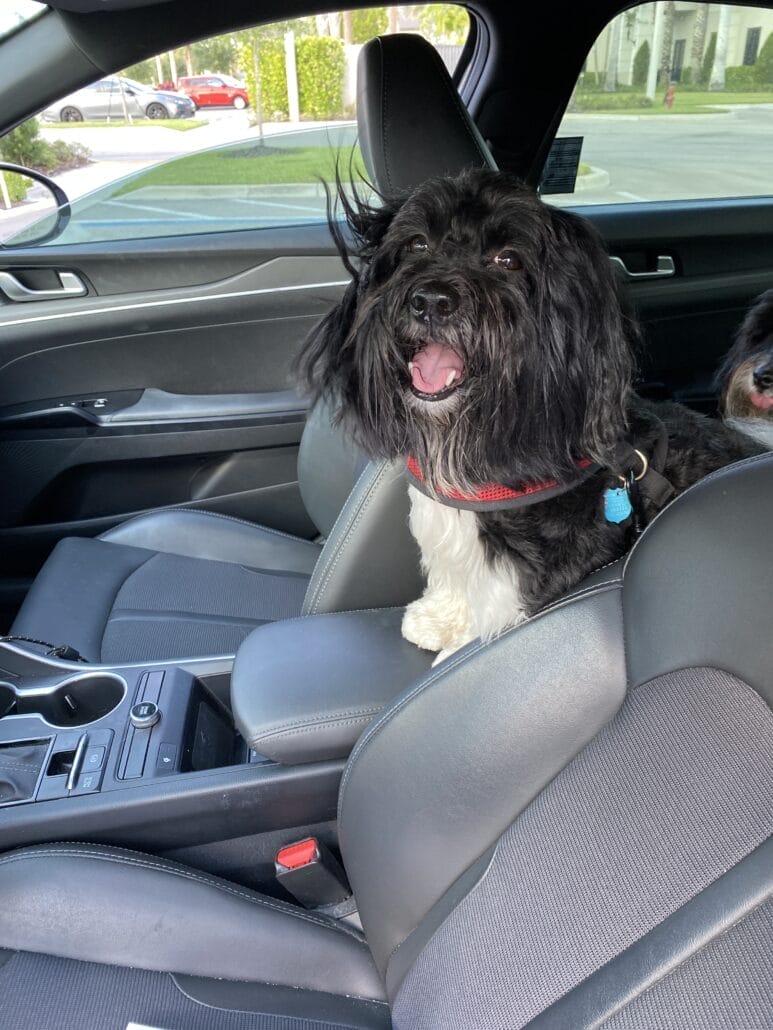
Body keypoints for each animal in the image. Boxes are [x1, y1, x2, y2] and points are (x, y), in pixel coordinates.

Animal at [298, 168, 762, 659]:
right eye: (418, 244)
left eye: (507, 259)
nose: (430, 300)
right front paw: (441, 616)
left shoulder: (543, 562)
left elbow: (497, 600)